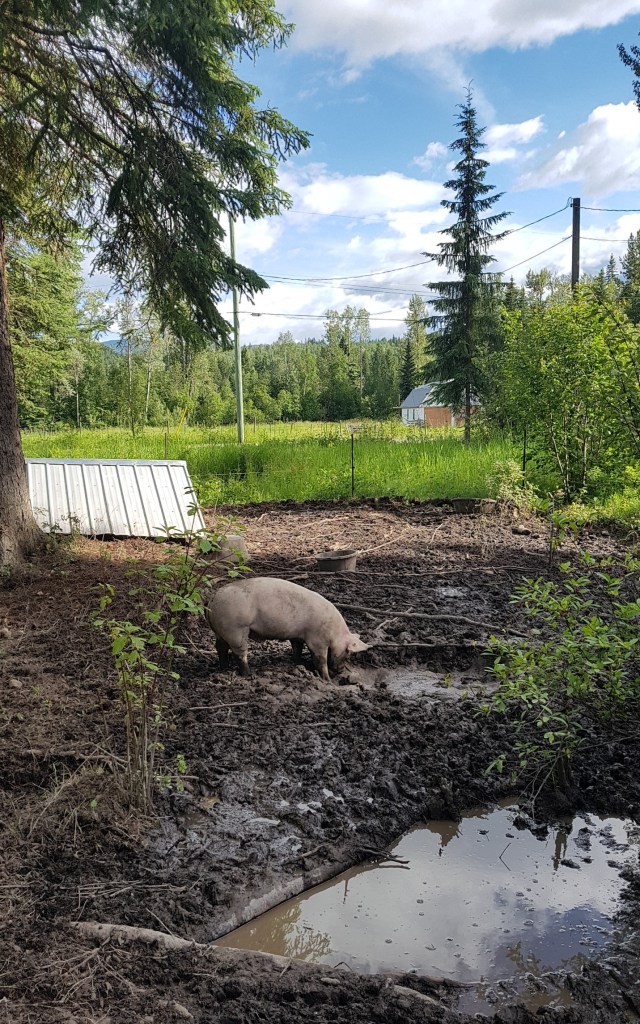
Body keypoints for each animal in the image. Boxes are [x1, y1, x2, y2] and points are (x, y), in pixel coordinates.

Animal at [205, 577, 368, 681]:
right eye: (348, 652)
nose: (341, 671)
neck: (335, 633)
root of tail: (212, 601)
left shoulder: (298, 636)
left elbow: (297, 649)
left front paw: (299, 663)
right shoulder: (318, 641)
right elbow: (320, 660)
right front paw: (327, 680)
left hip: (221, 631)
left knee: (220, 647)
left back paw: (224, 668)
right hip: (236, 629)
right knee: (239, 653)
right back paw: (248, 674)